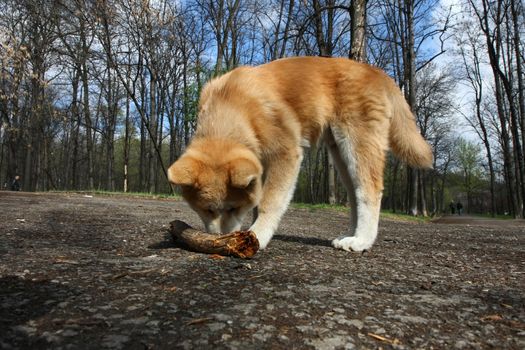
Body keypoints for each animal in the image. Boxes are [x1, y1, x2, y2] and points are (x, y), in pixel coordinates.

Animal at [167, 55, 430, 252]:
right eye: (207, 209)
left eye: (233, 208)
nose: (221, 240)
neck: (233, 104)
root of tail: (375, 71)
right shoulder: (260, 167)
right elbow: (259, 200)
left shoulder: (286, 153)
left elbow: (269, 202)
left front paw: (258, 235)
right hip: (340, 155)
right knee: (355, 194)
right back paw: (349, 236)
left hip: (357, 144)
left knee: (370, 191)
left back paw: (362, 241)